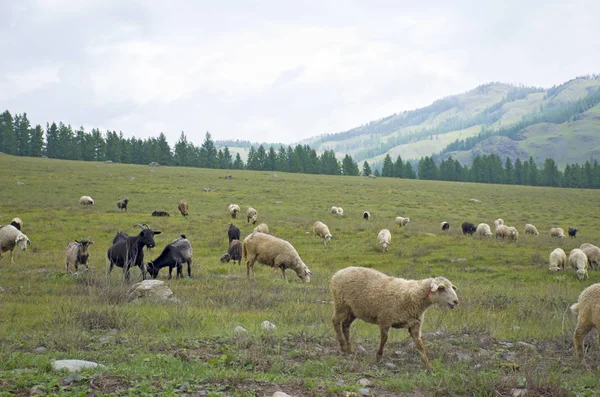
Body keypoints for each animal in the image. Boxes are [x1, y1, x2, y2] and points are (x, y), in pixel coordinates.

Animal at [330, 264, 458, 370]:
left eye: (451, 287)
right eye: (442, 288)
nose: (456, 301)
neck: (413, 297)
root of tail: (338, 273)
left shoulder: (414, 324)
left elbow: (420, 345)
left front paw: (428, 366)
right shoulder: (385, 319)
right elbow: (384, 339)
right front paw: (378, 357)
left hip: (353, 310)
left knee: (345, 325)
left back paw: (350, 349)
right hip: (341, 304)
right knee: (335, 321)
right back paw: (343, 346)